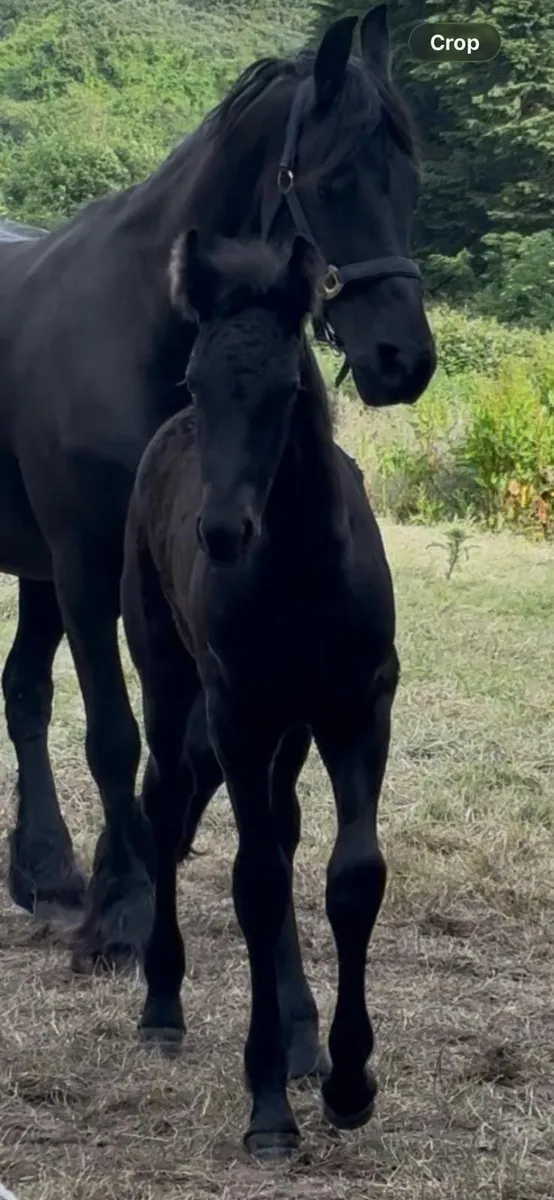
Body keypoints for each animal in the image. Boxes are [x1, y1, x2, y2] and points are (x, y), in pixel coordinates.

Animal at [0, 5, 434, 971]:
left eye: (410, 180)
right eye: (335, 181)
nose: (406, 359)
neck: (141, 326)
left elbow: (192, 749)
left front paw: (134, 869)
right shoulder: (91, 571)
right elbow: (115, 734)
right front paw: (123, 909)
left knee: (24, 692)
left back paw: (43, 869)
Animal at [120, 228, 399, 1158]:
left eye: (286, 390)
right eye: (195, 382)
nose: (220, 532)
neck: (304, 567)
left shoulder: (359, 709)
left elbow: (351, 875)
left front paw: (348, 1081)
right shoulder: (238, 715)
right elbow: (255, 881)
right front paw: (269, 1106)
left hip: (294, 728)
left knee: (281, 824)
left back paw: (307, 1037)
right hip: (169, 672)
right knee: (166, 801)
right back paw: (162, 1005)